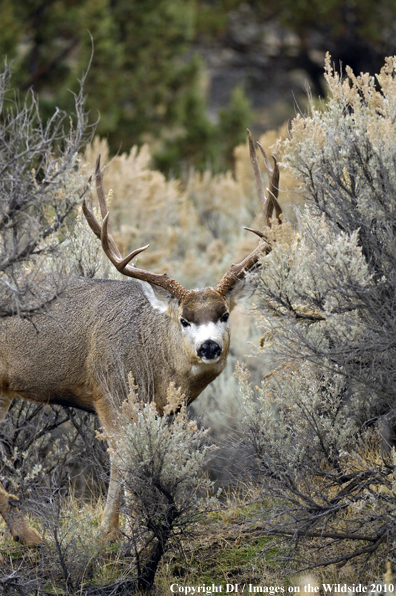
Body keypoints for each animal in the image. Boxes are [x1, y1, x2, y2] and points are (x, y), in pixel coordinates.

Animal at [0, 130, 282, 544]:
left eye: (225, 314)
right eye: (183, 320)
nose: (209, 346)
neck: (154, 367)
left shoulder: (161, 410)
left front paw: (127, 529)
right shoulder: (107, 391)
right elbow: (124, 459)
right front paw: (119, 534)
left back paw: (26, 536)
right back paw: (31, 536)